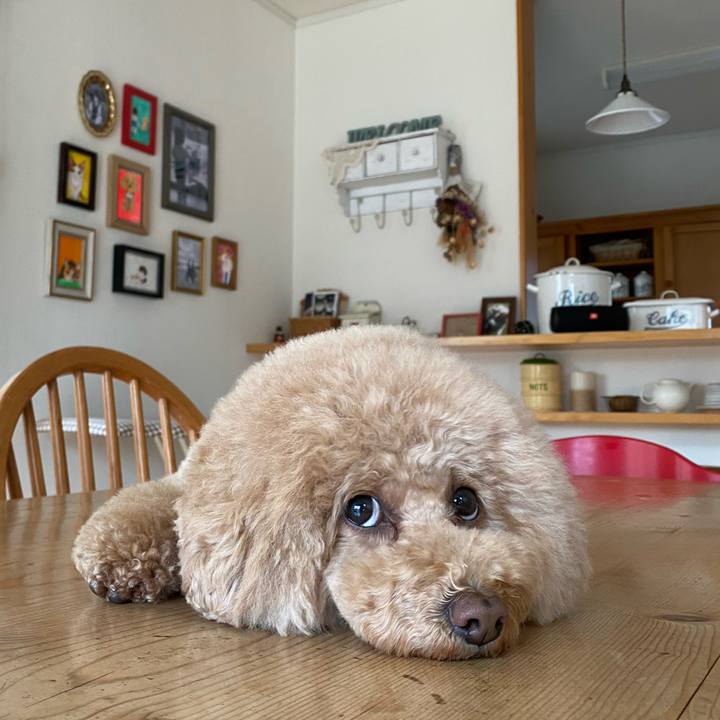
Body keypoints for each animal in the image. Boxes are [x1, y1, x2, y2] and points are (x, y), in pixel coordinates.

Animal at [72, 327, 589, 660]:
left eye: (466, 502)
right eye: (360, 509)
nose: (482, 615)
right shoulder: (184, 484)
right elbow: (149, 502)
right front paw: (119, 560)